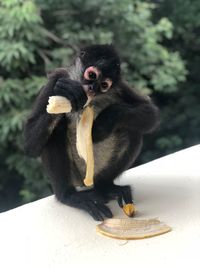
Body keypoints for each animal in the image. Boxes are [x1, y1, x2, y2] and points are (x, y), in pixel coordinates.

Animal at [23, 44, 159, 222]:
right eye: (92, 75)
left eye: (104, 85)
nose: (93, 88)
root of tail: (87, 181)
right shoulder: (55, 79)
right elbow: (30, 144)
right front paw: (67, 92)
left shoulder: (119, 86)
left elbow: (151, 113)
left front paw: (105, 121)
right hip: (75, 175)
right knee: (57, 129)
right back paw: (68, 196)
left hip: (99, 172)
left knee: (131, 130)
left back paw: (105, 187)